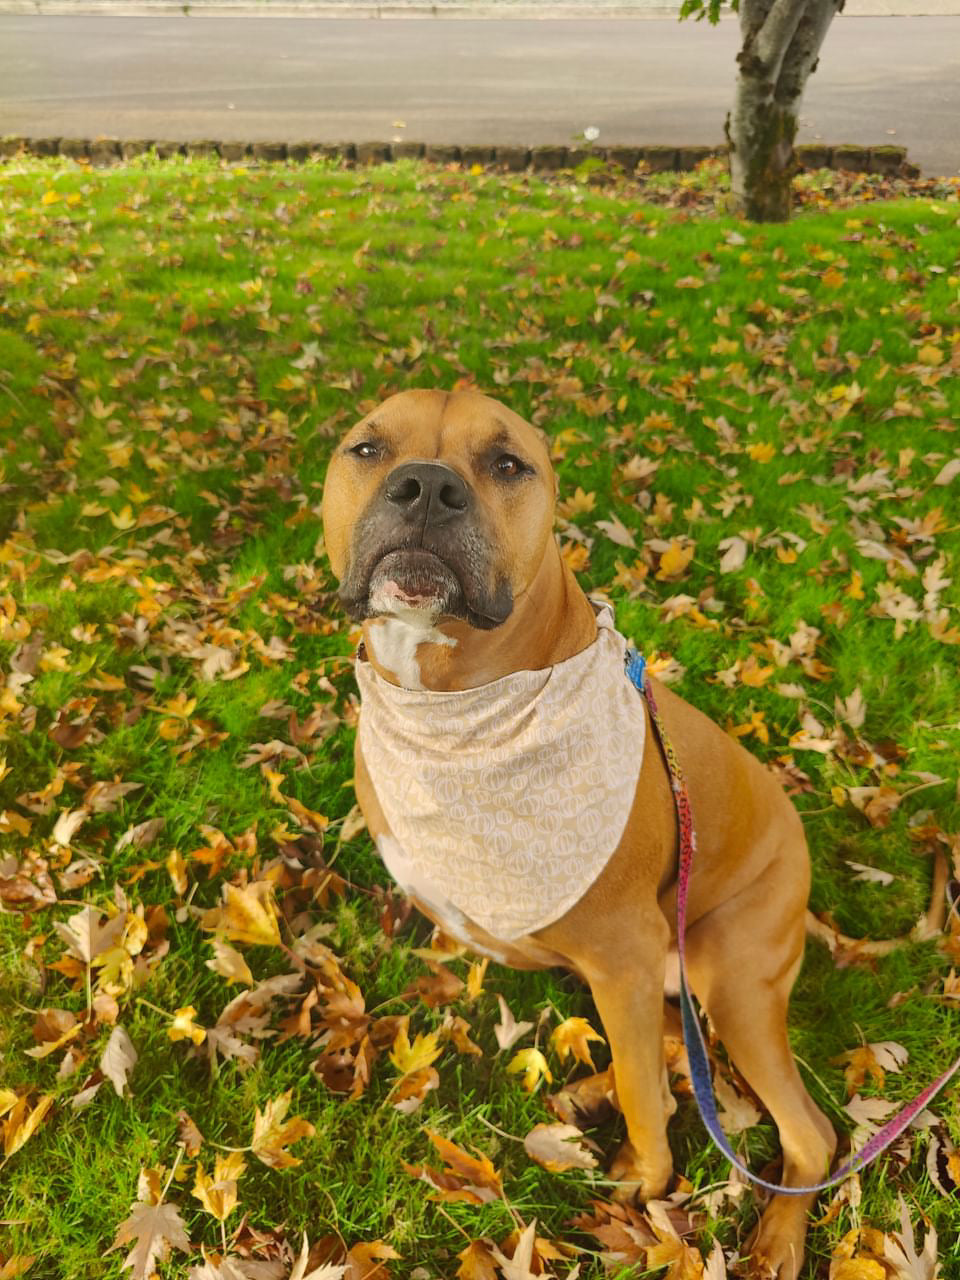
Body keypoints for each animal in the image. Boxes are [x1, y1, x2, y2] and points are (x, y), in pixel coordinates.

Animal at [321, 384, 834, 1274]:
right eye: (368, 449)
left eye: (506, 463)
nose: (426, 487)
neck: (455, 715)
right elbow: (644, 1064)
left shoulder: (624, 956)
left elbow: (644, 1092)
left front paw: (648, 1181)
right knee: (676, 1044)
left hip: (732, 978)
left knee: (809, 1132)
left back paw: (774, 1240)